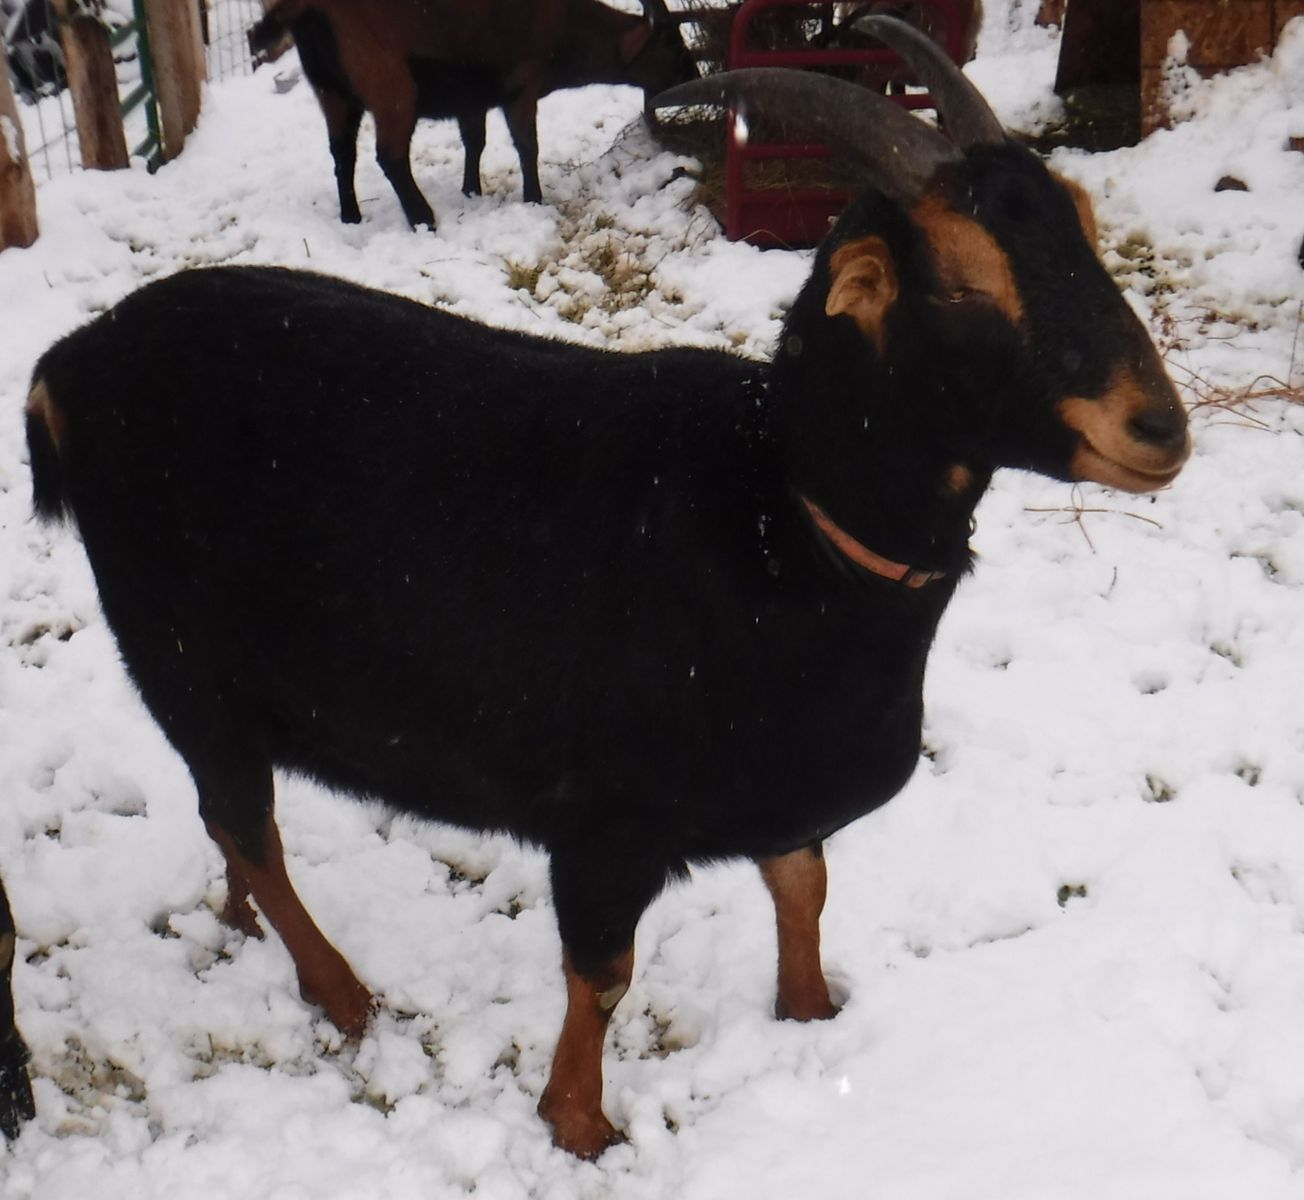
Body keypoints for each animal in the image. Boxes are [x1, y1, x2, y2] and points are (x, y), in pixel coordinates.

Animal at [247, 0, 698, 229]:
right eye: (673, 46)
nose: (694, 77)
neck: (565, 25)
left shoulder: (472, 98)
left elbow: (474, 142)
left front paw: (471, 191)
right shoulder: (521, 87)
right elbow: (527, 146)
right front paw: (534, 199)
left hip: (334, 93)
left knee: (343, 155)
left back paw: (351, 217)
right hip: (391, 86)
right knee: (390, 157)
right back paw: (424, 219)